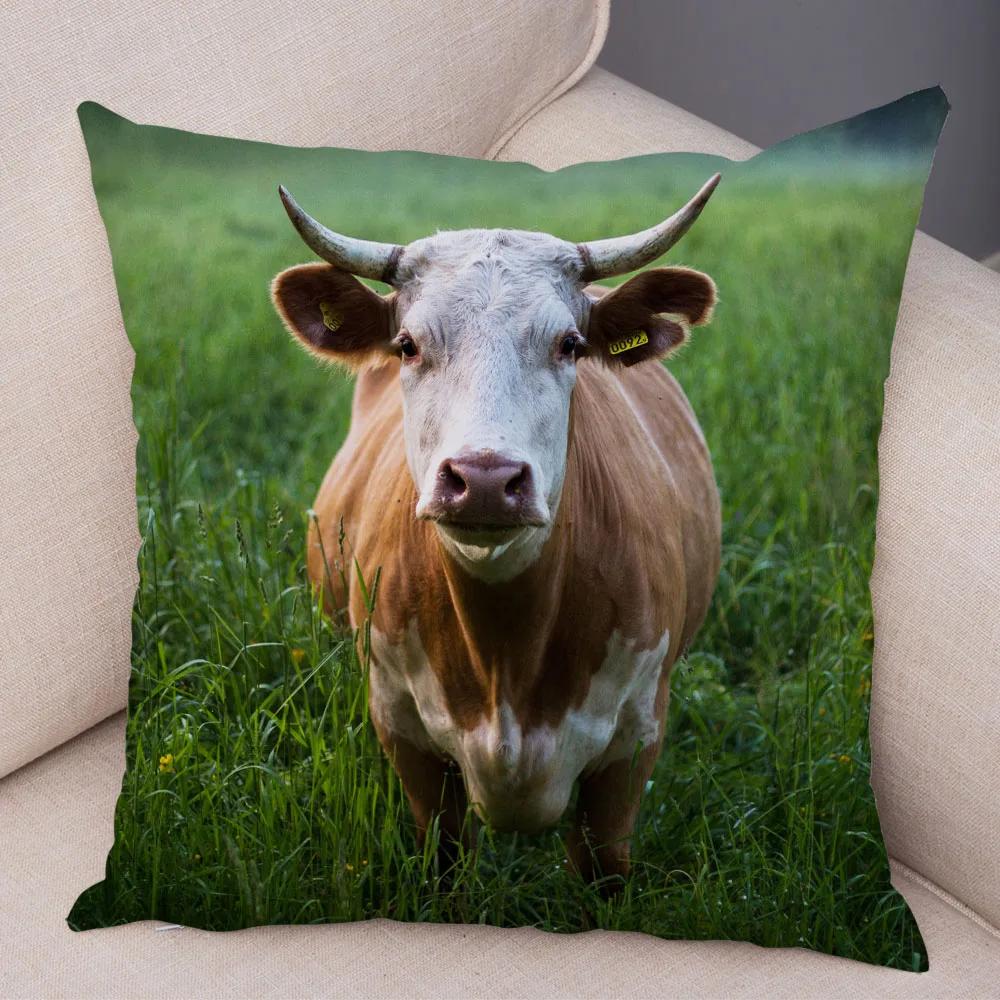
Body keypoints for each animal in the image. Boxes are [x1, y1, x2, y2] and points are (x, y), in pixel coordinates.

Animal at [270, 175, 722, 886]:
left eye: (570, 344)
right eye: (408, 344)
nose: (484, 478)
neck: (506, 654)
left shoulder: (634, 744)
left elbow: (604, 867)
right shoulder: (405, 734)